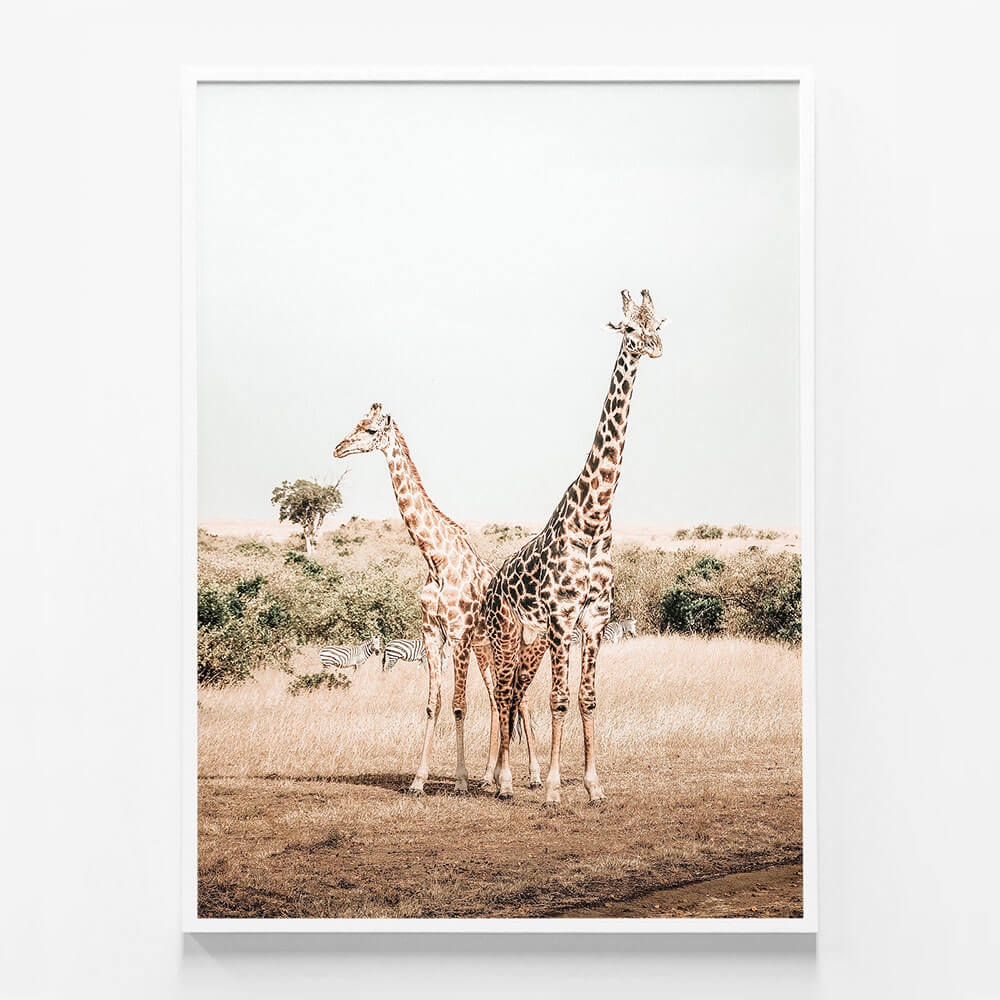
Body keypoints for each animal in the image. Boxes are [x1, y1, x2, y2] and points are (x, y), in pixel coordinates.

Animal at [334, 405, 540, 795]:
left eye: (369, 431)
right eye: (354, 424)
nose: (338, 449)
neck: (435, 558)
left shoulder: (458, 634)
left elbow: (459, 705)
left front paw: (459, 780)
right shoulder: (433, 633)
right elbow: (434, 704)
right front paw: (418, 780)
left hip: (510, 645)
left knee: (519, 700)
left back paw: (533, 776)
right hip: (485, 650)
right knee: (498, 699)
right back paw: (489, 777)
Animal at [478, 289, 665, 804]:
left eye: (656, 323)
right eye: (628, 328)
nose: (655, 346)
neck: (595, 517)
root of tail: (491, 583)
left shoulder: (594, 618)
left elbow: (588, 699)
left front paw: (594, 785)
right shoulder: (563, 617)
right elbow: (559, 700)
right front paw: (554, 789)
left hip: (531, 639)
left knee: (515, 695)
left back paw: (503, 777)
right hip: (505, 633)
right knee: (504, 693)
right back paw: (501, 781)